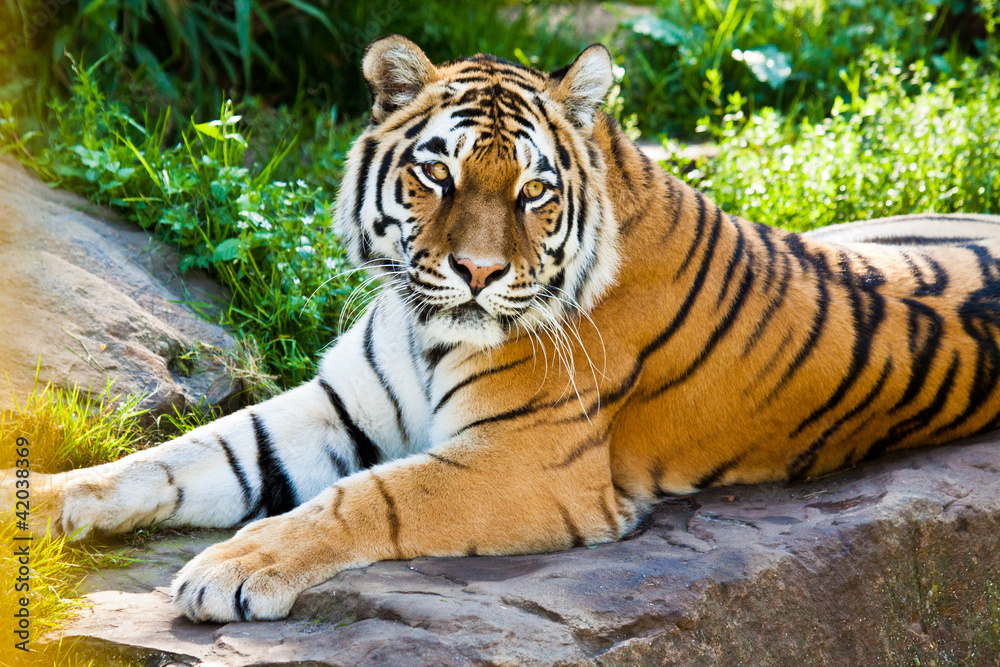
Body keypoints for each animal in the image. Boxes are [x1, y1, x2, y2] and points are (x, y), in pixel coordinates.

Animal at [5, 35, 1000, 624]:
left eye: (532, 192)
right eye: (437, 175)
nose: (477, 273)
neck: (422, 326)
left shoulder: (524, 463)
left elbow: (367, 498)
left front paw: (233, 568)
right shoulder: (333, 406)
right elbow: (168, 459)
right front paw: (39, 499)